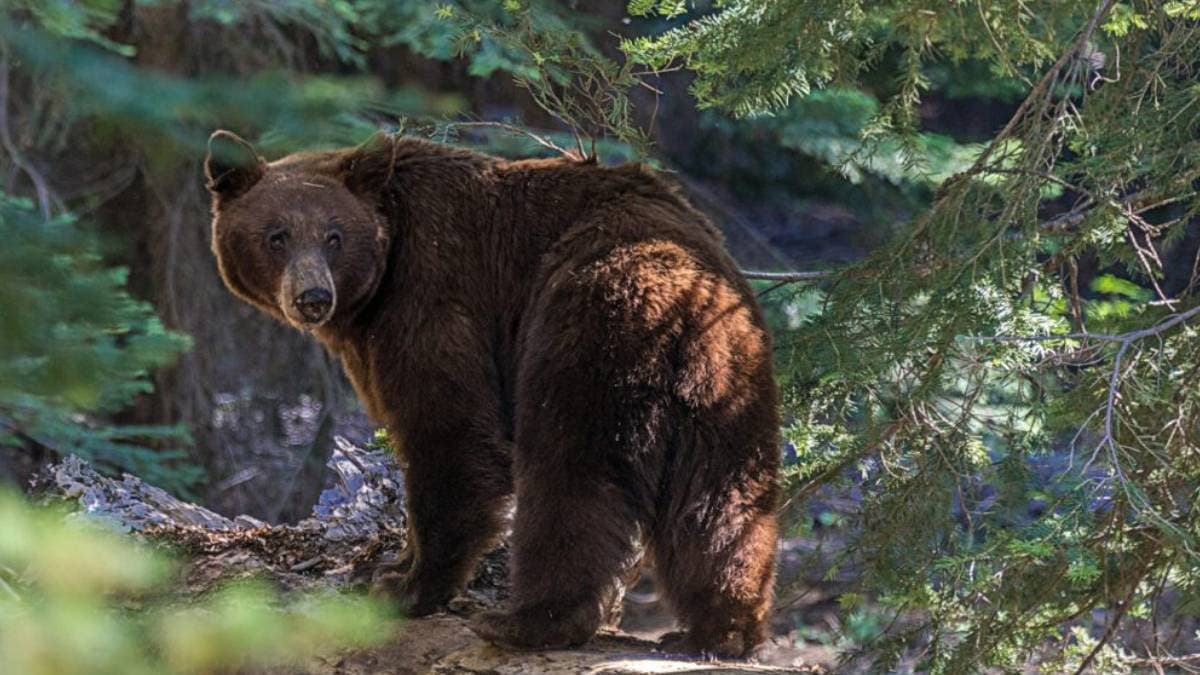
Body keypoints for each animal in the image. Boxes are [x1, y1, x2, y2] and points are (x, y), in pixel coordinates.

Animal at [203, 129, 781, 657]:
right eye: (277, 235)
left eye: (334, 236)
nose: (313, 297)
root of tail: (682, 300)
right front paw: (387, 567)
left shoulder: (434, 293)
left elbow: (449, 432)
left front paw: (409, 586)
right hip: (729, 381)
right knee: (722, 500)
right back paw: (719, 631)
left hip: (586, 332)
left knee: (571, 476)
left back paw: (529, 621)